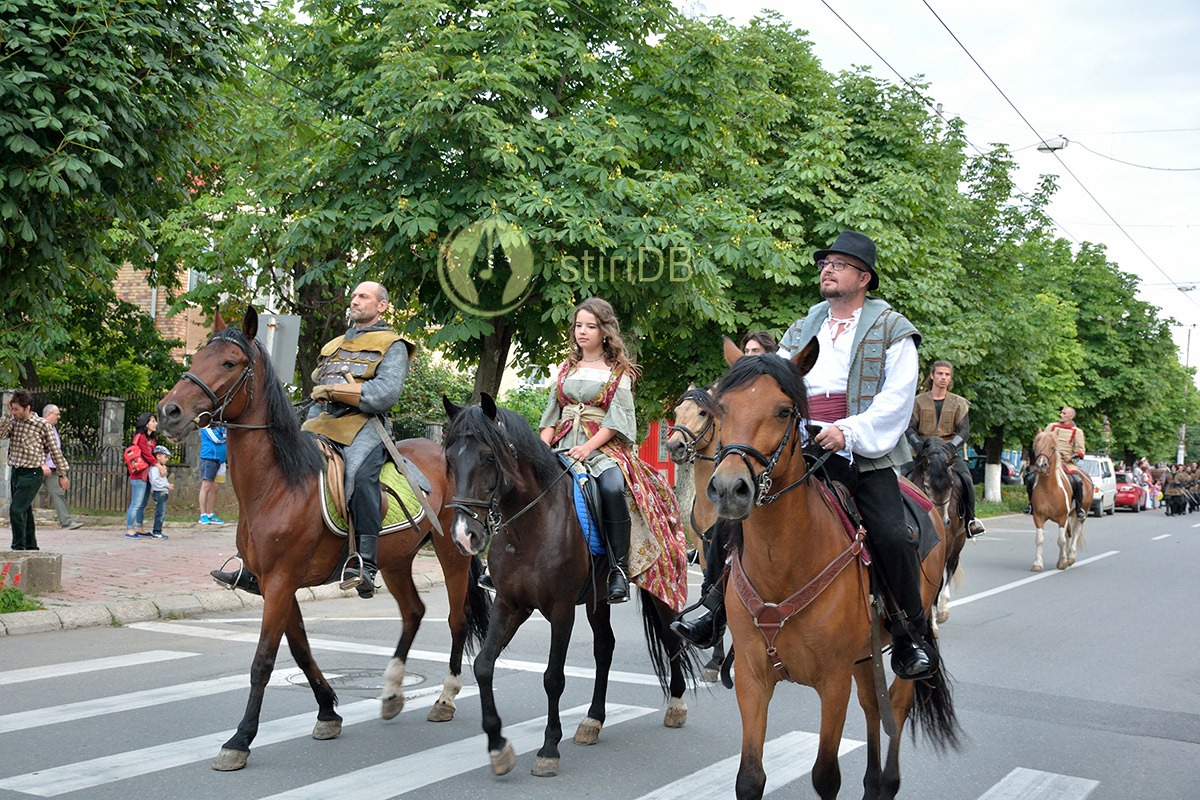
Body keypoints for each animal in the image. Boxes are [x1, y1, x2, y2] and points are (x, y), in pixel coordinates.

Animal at [158, 309, 487, 772]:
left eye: (229, 363)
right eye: (198, 355)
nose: (168, 411)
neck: (278, 484)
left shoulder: (282, 582)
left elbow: (264, 660)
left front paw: (240, 740)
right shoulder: (273, 585)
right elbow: (300, 649)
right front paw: (329, 711)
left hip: (451, 551)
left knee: (456, 618)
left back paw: (445, 698)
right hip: (395, 560)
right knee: (413, 612)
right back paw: (391, 692)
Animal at [446, 398, 700, 777]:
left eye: (488, 457)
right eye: (449, 458)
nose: (465, 536)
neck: (531, 523)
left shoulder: (561, 610)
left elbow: (553, 678)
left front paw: (549, 748)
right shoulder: (509, 604)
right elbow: (483, 665)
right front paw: (497, 745)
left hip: (660, 586)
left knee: (671, 638)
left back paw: (677, 705)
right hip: (598, 599)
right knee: (605, 647)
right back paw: (593, 721)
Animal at [907, 438, 964, 623]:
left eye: (951, 484)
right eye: (926, 485)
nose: (942, 520)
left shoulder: (946, 546)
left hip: (957, 544)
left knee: (951, 568)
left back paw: (943, 610)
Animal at [1027, 429, 1094, 573]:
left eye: (1052, 447)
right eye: (1036, 446)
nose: (1041, 465)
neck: (1048, 488)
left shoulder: (1062, 517)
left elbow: (1061, 540)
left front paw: (1062, 562)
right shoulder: (1038, 517)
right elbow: (1039, 539)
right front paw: (1038, 564)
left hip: (1082, 512)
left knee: (1075, 532)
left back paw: (1071, 557)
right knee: (1069, 533)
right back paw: (1068, 556)